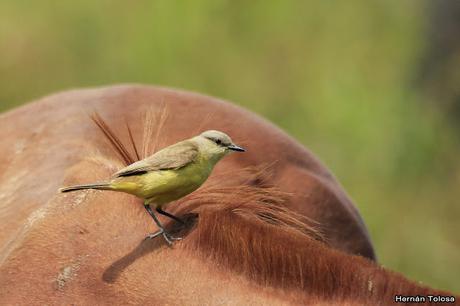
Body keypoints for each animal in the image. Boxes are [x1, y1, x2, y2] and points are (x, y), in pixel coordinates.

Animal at [0, 85, 454, 304]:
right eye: (219, 141)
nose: (237, 148)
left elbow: (172, 211)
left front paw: (182, 221)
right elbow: (155, 210)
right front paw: (167, 233)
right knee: (147, 206)